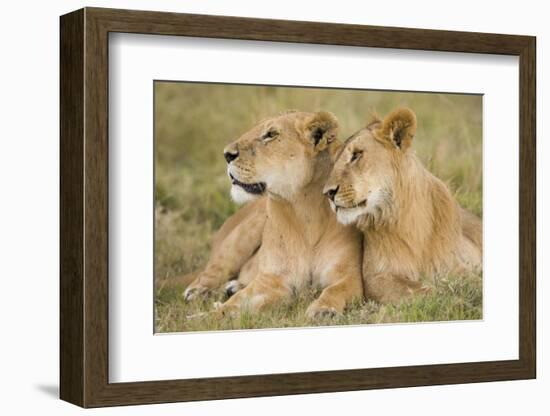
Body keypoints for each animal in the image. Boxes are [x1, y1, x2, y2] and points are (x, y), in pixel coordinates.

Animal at [187, 110, 366, 318]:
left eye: (271, 134)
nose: (226, 154)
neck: (305, 211)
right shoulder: (270, 280)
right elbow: (232, 305)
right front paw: (202, 318)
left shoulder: (349, 275)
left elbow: (334, 290)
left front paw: (322, 310)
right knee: (212, 271)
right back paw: (198, 292)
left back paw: (232, 286)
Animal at [324, 107, 484, 302]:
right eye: (334, 163)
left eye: (356, 155)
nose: (328, 193)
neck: (407, 218)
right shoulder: (376, 277)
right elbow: (425, 290)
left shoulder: (454, 265)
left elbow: (473, 282)